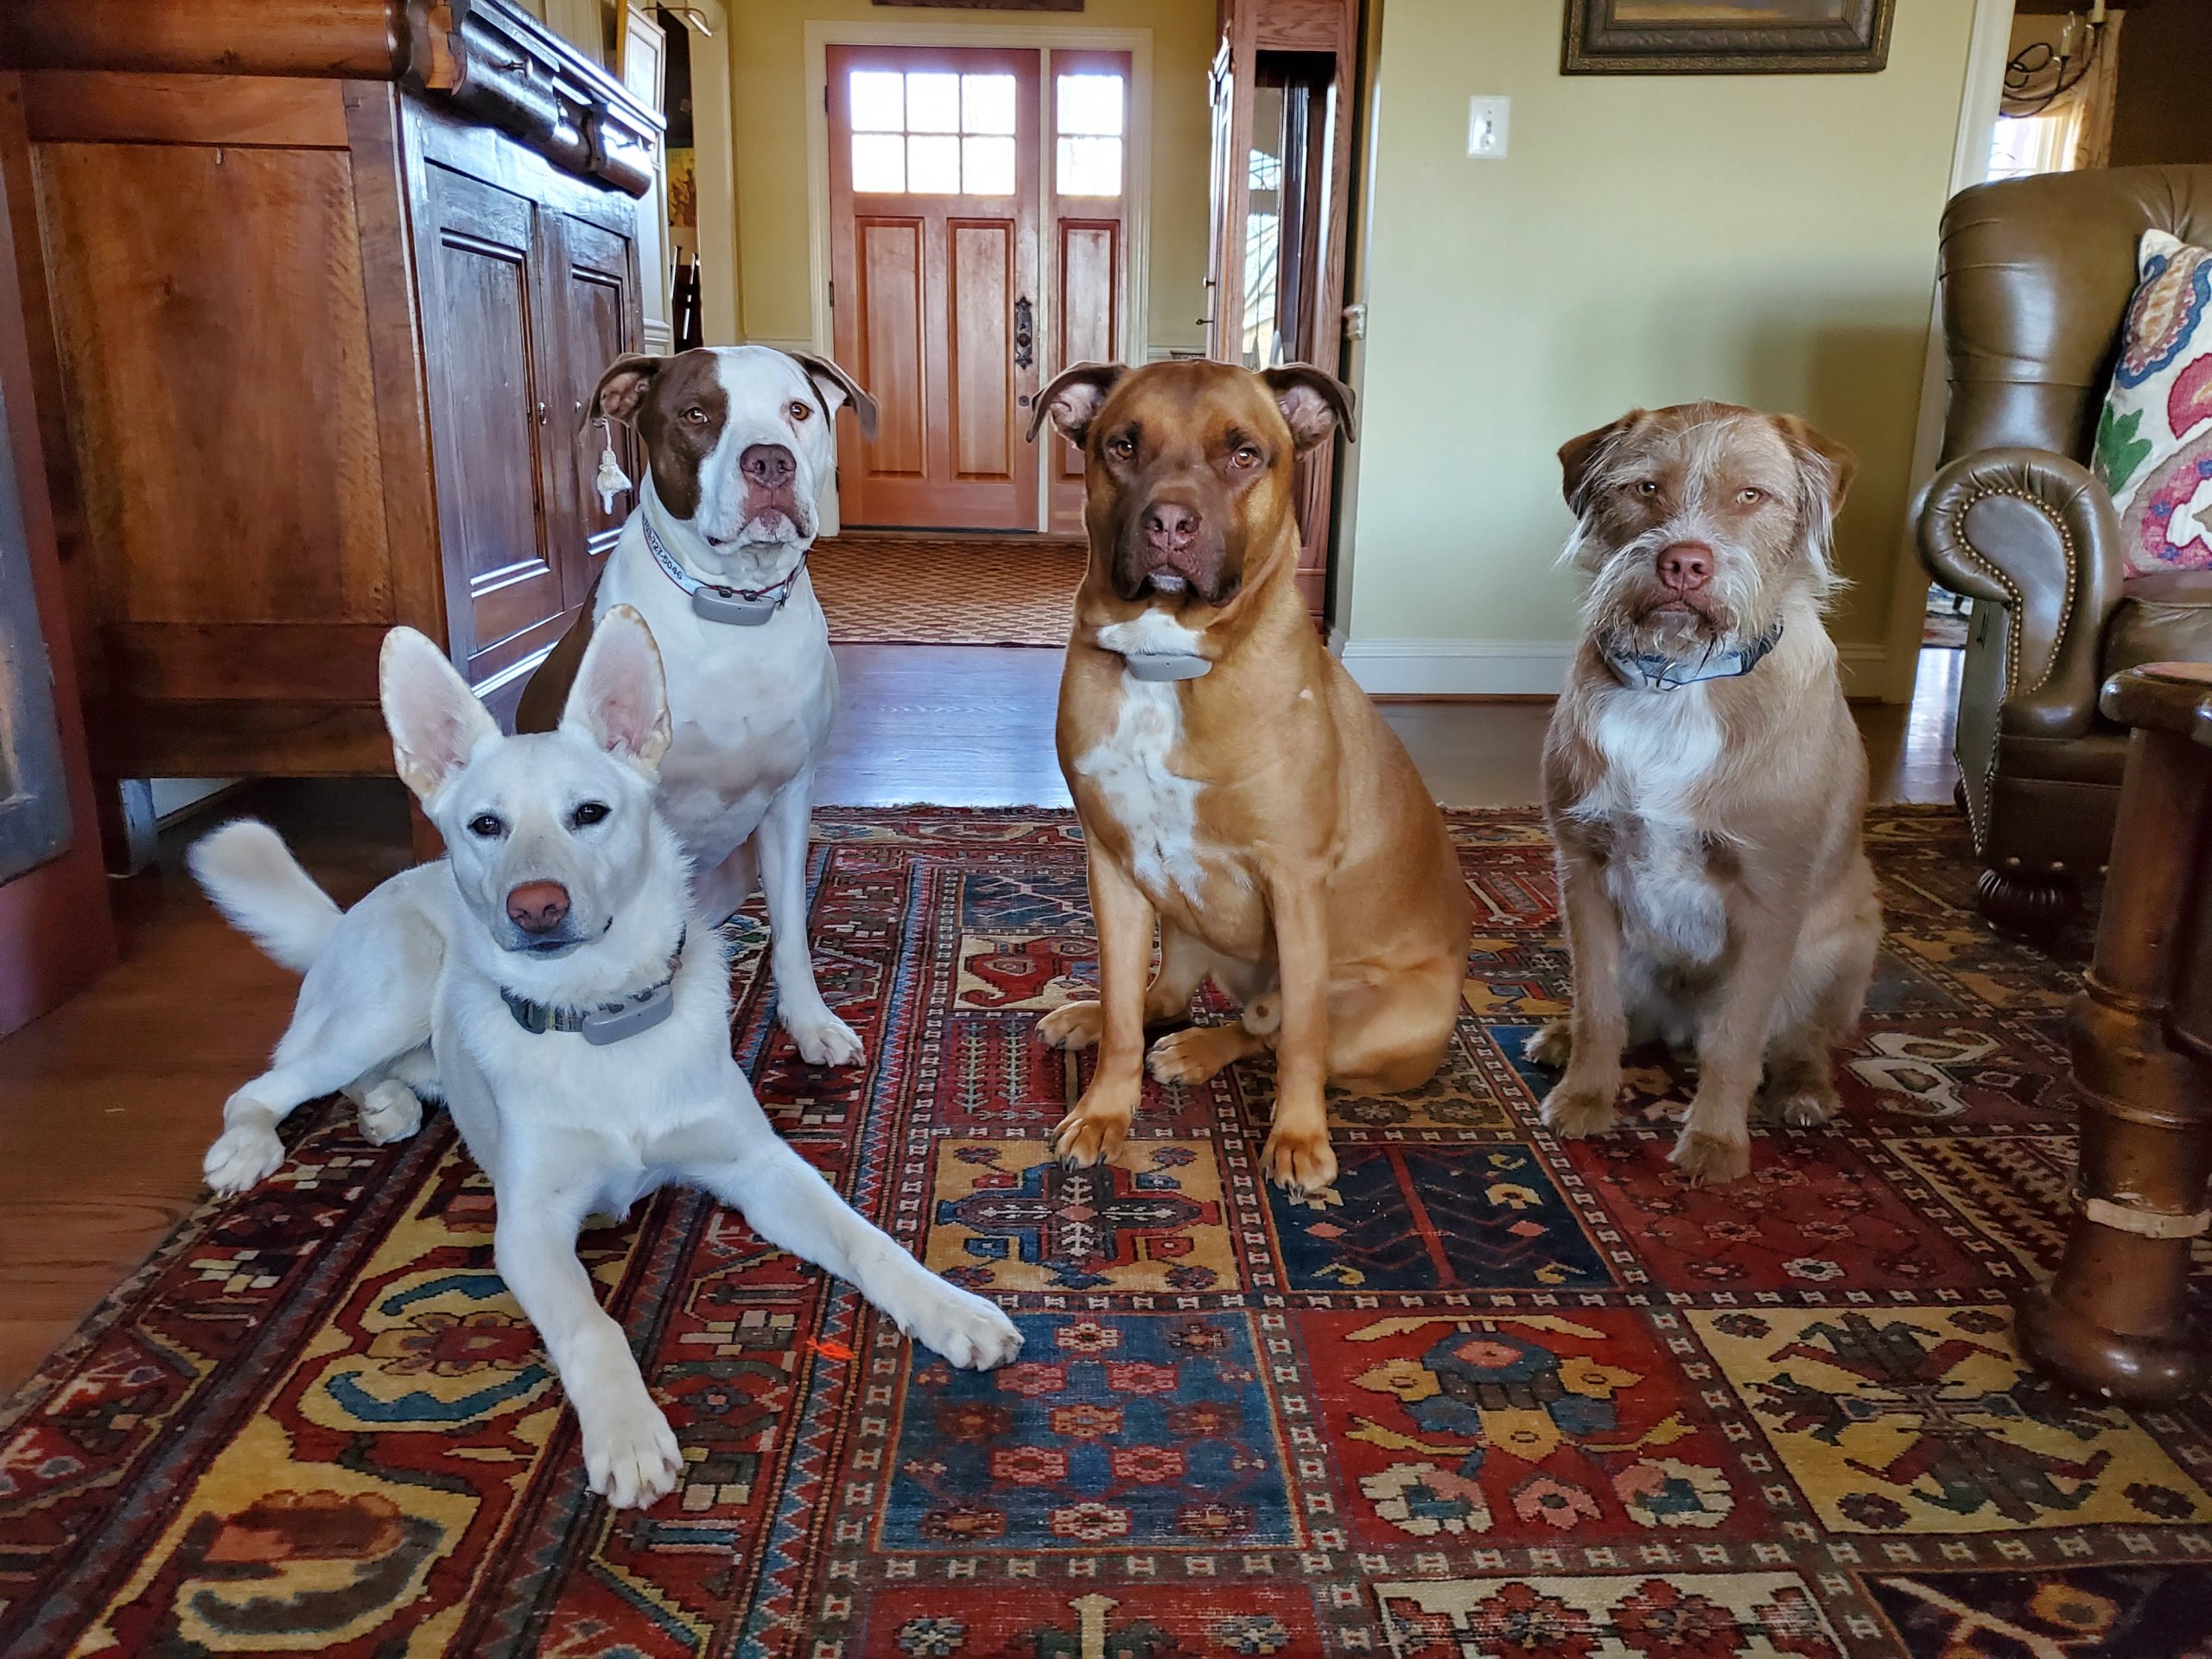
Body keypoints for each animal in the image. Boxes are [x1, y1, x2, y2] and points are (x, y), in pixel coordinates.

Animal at [190, 606, 1017, 1503]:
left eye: (591, 813)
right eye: (486, 825)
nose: (536, 906)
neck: (600, 1018)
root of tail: (353, 912)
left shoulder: (760, 1167)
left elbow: (867, 1239)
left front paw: (949, 1308)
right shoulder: (528, 1229)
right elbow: (592, 1324)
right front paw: (626, 1431)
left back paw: (388, 1106)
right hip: (392, 990)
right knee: (268, 1082)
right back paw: (252, 1146)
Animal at [1026, 360, 1478, 1194]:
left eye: (1244, 454)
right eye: (1122, 445)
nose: (1170, 524)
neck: (1167, 660)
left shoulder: (1293, 882)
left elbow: (1299, 1038)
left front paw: (1297, 1138)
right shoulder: (1112, 864)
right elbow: (1125, 1016)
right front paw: (1105, 1109)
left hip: (1388, 1025)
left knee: (1273, 1029)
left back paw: (1202, 1052)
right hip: (1179, 918)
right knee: (1165, 998)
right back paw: (1099, 1018)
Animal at [1539, 400, 1885, 1185]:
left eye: (1751, 496)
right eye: (1645, 488)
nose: (1684, 562)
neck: (1676, 679)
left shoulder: (1770, 896)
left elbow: (1737, 1040)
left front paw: (1717, 1142)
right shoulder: (1584, 870)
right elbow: (1597, 1007)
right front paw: (1585, 1097)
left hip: (1849, 942)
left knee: (1800, 1039)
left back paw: (1806, 1093)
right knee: (1621, 1011)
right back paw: (1559, 1040)